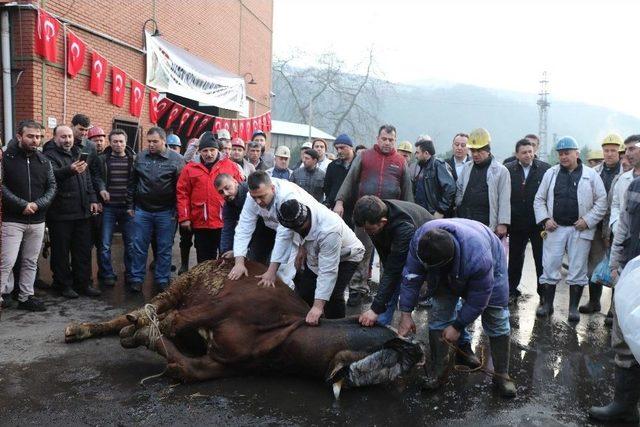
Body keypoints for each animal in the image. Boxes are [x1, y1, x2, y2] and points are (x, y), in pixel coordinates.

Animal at [63, 260, 420, 400]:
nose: (416, 352)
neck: (285, 333)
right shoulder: (220, 305)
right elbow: (169, 321)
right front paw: (139, 331)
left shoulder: (221, 363)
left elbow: (180, 365)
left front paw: (143, 336)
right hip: (184, 283)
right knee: (143, 310)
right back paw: (84, 328)